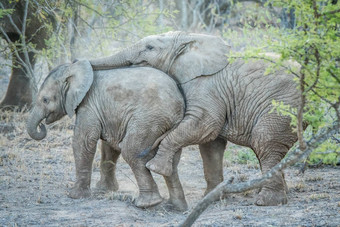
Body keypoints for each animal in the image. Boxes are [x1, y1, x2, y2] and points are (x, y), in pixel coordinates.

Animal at [25, 59, 189, 210]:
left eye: (45, 100)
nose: (42, 125)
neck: (74, 70)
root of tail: (180, 101)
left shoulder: (88, 104)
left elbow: (84, 141)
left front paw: (75, 196)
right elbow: (110, 147)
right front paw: (104, 189)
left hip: (149, 119)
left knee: (131, 151)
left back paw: (146, 204)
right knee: (170, 161)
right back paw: (177, 207)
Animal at [89, 31, 302, 207]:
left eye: (150, 48)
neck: (189, 39)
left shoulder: (206, 88)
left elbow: (205, 125)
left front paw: (156, 167)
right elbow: (210, 146)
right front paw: (211, 198)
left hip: (283, 107)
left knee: (264, 142)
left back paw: (266, 202)